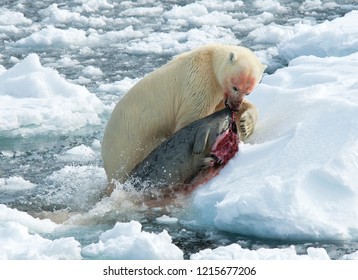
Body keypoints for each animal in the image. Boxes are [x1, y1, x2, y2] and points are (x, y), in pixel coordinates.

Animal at [100, 44, 266, 191]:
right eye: (235, 87)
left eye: (248, 91)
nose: (235, 106)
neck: (210, 61)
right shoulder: (199, 84)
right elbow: (192, 117)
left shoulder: (218, 93)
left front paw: (245, 124)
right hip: (129, 145)